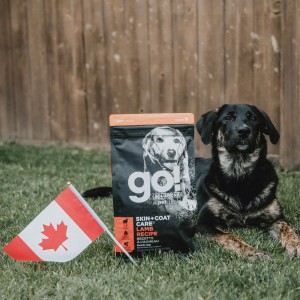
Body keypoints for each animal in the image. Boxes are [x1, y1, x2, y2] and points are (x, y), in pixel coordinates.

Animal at [196, 103, 300, 258]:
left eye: (253, 118)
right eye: (227, 117)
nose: (244, 131)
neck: (240, 175)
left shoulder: (275, 219)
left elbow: (287, 229)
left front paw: (296, 245)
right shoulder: (202, 223)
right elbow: (230, 236)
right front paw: (253, 253)